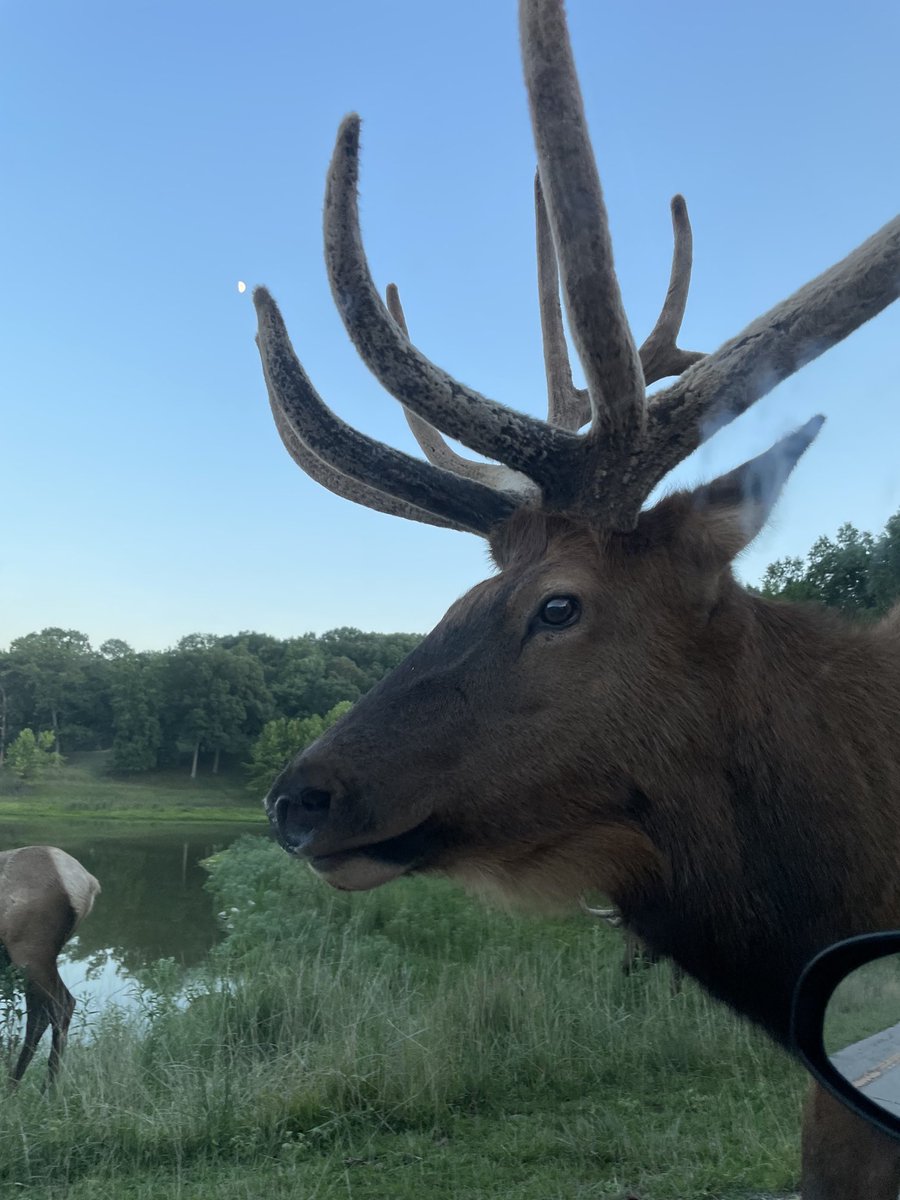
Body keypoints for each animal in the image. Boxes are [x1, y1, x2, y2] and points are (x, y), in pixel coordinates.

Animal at [0, 846, 100, 1088]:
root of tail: (90, 884)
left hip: (31, 954)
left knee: (57, 1007)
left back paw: (44, 1089)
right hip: (36, 961)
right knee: (45, 1013)